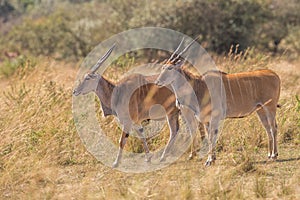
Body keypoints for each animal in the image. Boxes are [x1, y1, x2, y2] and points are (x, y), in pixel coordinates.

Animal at [73, 45, 204, 167]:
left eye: (87, 78)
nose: (75, 91)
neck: (117, 91)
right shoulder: (136, 122)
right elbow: (142, 136)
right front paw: (148, 158)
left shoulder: (127, 122)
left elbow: (121, 141)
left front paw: (116, 162)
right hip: (175, 113)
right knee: (182, 130)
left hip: (180, 112)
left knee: (189, 128)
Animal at [155, 38, 282, 166]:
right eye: (162, 68)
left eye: (170, 68)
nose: (157, 82)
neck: (200, 86)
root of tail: (274, 74)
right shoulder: (206, 120)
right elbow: (209, 137)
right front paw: (212, 158)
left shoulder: (214, 118)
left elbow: (211, 137)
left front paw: (209, 160)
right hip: (260, 110)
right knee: (267, 128)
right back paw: (269, 154)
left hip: (270, 108)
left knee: (274, 127)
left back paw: (274, 155)